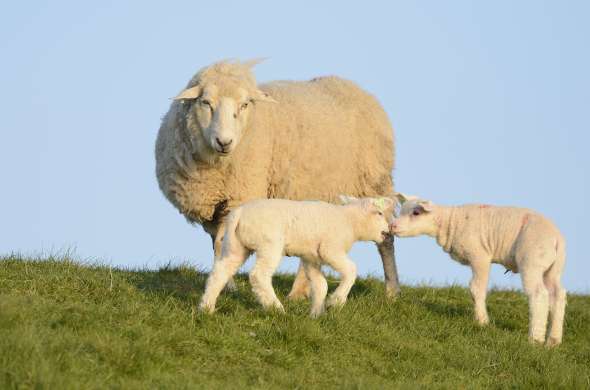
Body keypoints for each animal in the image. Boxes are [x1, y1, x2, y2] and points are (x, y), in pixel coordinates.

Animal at [156, 58, 402, 298]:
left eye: (245, 105)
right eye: (206, 102)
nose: (224, 142)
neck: (217, 166)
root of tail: (354, 88)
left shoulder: (240, 199)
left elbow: (223, 243)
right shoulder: (212, 209)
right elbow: (218, 245)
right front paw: (227, 285)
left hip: (375, 182)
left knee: (386, 240)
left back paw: (392, 291)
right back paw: (299, 293)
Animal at [200, 195, 398, 316]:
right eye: (379, 213)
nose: (388, 230)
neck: (349, 221)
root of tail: (238, 214)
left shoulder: (311, 257)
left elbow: (321, 285)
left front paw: (317, 313)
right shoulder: (330, 249)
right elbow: (351, 271)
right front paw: (336, 301)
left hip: (236, 245)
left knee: (220, 273)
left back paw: (206, 307)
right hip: (270, 244)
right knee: (258, 275)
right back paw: (276, 308)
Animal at [390, 193, 568, 346]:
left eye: (416, 213)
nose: (392, 226)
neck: (450, 222)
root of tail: (556, 238)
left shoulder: (480, 256)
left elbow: (476, 288)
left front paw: (482, 322)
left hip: (532, 260)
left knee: (539, 294)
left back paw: (535, 338)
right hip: (553, 268)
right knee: (558, 295)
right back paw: (553, 341)